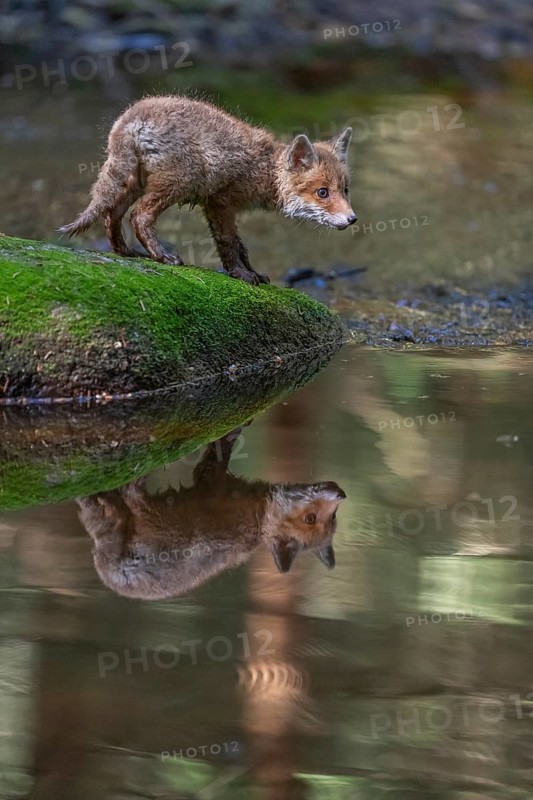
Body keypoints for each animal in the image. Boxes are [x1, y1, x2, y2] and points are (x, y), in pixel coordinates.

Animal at [59, 95, 356, 285]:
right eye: (322, 192)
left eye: (345, 190)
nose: (353, 219)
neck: (263, 170)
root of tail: (131, 117)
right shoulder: (220, 203)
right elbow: (228, 245)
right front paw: (242, 275)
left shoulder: (223, 208)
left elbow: (241, 247)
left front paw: (254, 273)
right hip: (177, 182)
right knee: (139, 217)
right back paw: (162, 256)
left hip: (133, 182)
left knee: (111, 215)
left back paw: (125, 252)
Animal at [76, 429, 345, 599]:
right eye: (310, 518)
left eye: (332, 517)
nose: (340, 493)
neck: (256, 518)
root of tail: (113, 572)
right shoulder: (212, 482)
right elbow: (224, 444)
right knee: (132, 488)